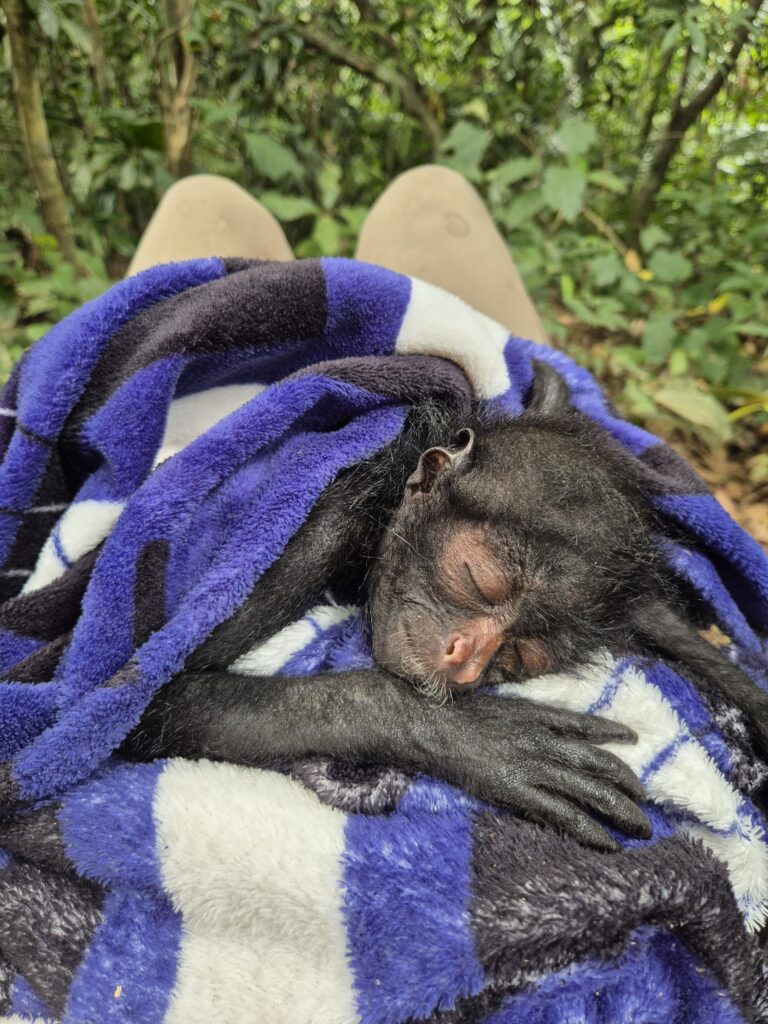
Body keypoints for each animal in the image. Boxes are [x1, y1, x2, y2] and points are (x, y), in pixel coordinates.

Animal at [121, 362, 768, 851]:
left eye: (522, 654)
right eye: (478, 579)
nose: (467, 658)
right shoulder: (314, 532)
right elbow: (154, 702)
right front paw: (479, 740)